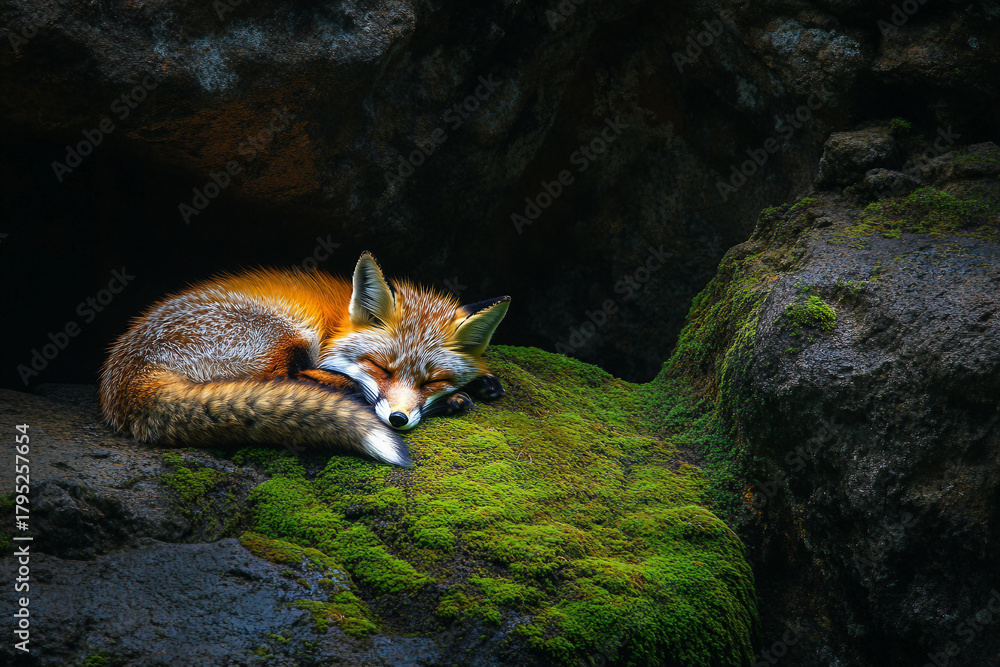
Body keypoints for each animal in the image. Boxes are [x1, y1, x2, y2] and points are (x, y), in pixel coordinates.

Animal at [99, 252, 510, 468]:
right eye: (381, 368)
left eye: (432, 381)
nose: (398, 419)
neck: (339, 319)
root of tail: (125, 377)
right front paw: (460, 395)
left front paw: (479, 379)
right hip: (287, 330)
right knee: (284, 379)